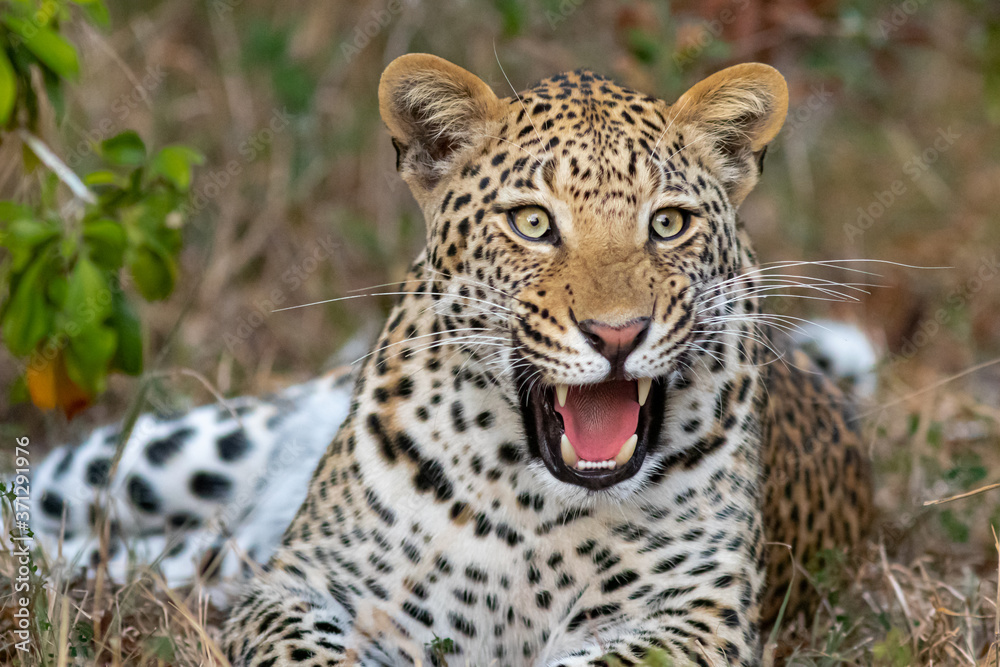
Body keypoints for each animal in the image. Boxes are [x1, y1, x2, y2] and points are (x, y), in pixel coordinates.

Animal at [212, 54, 874, 667]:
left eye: (667, 223)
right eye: (532, 222)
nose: (617, 335)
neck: (528, 507)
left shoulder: (699, 618)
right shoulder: (296, 587)